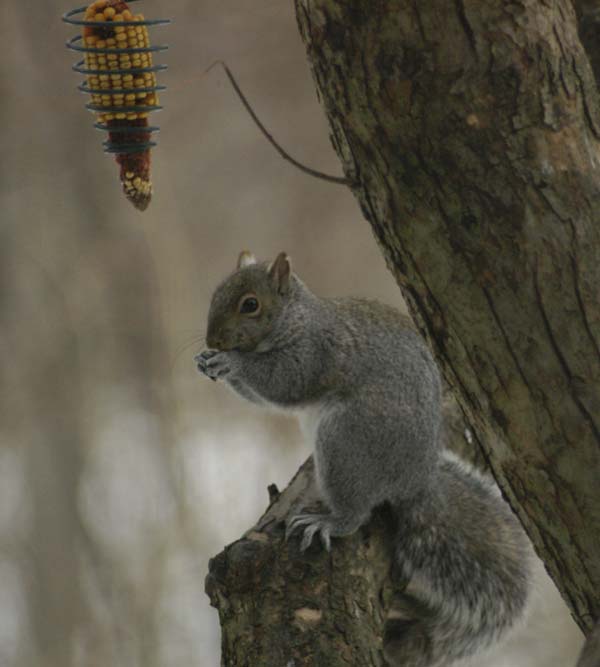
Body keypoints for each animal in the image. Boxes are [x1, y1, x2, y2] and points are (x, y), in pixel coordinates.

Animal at [196, 251, 532, 667]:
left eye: (250, 305)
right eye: (216, 294)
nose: (213, 339)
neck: (297, 319)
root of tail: (415, 478)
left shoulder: (316, 353)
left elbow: (282, 382)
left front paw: (232, 364)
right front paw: (205, 359)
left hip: (348, 442)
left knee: (356, 513)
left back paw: (328, 520)